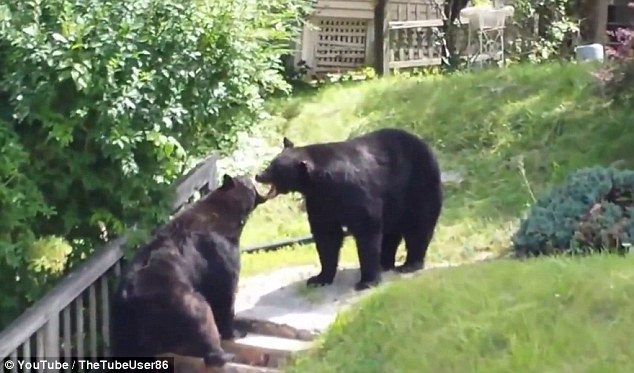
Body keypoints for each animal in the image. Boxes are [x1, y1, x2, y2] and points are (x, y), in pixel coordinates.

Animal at [110, 174, 266, 366]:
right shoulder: (219, 250)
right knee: (202, 315)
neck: (226, 213)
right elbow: (224, 291)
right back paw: (223, 354)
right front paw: (235, 331)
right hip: (177, 297)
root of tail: (129, 296)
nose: (253, 175)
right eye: (246, 180)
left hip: (123, 322)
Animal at [254, 128, 442, 290]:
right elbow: (326, 234)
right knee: (391, 231)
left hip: (419, 184)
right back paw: (385, 262)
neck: (322, 182)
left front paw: (366, 281)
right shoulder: (320, 201)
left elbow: (367, 228)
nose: (258, 175)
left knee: (419, 224)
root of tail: (425, 145)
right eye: (271, 164)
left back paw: (410, 264)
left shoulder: (354, 193)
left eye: (274, 169)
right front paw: (319, 278)